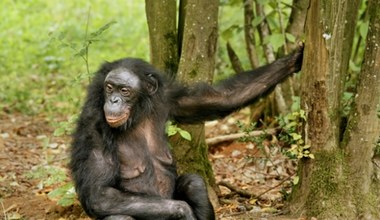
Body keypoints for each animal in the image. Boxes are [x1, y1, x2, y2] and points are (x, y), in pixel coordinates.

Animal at [70, 43, 304, 220]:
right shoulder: (94, 126)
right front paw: (183, 211)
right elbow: (100, 194)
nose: (114, 100)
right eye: (109, 87)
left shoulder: (169, 98)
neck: (139, 114)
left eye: (124, 90)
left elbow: (222, 98)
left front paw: (290, 61)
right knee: (119, 216)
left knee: (195, 184)